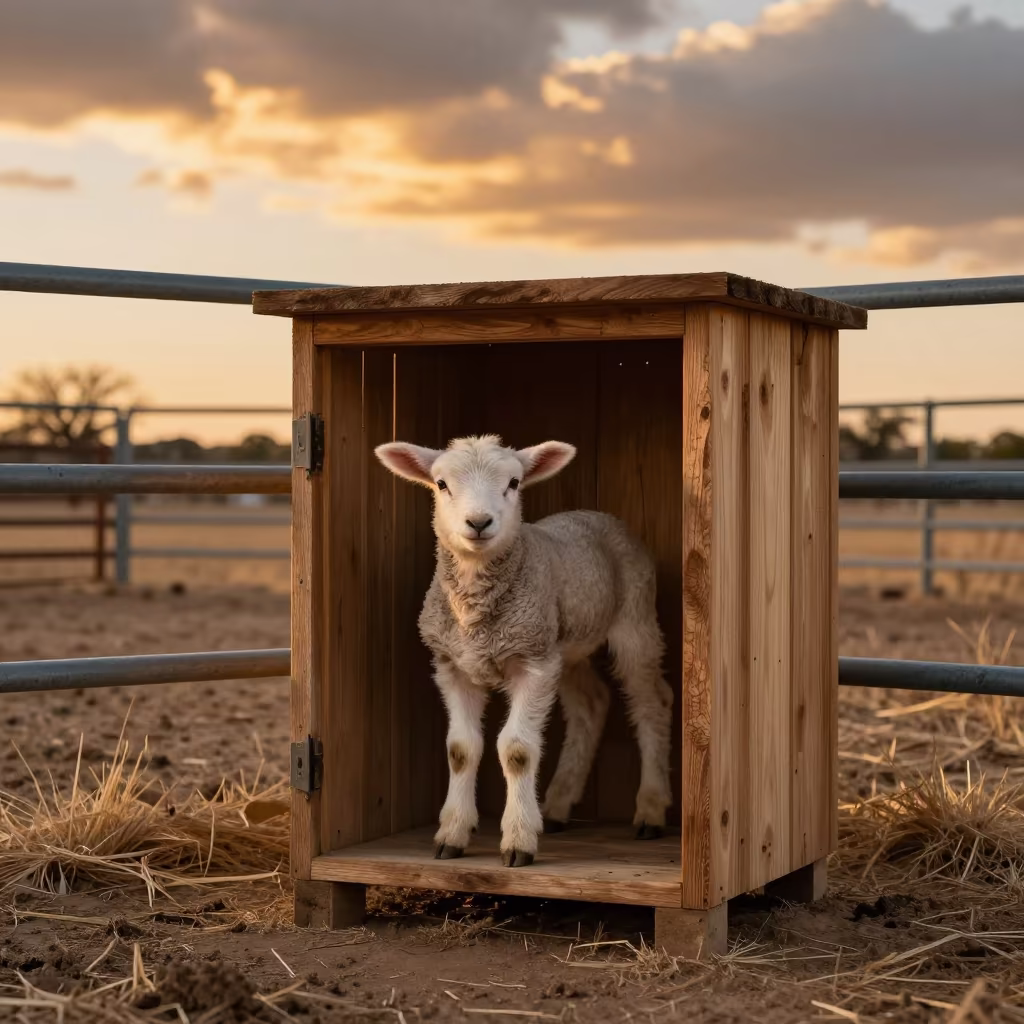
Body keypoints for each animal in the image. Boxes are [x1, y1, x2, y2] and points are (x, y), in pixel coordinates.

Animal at [374, 434, 674, 868]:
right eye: (442, 484)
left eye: (514, 483)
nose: (479, 522)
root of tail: (598, 514)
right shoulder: (453, 665)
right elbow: (460, 750)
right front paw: (451, 835)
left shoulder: (532, 664)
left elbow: (516, 750)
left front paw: (518, 841)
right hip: (562, 644)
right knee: (592, 703)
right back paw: (558, 805)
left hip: (633, 620)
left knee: (653, 703)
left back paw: (650, 808)